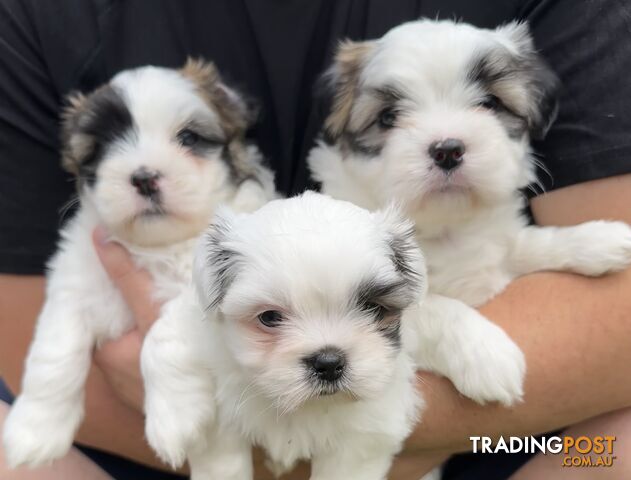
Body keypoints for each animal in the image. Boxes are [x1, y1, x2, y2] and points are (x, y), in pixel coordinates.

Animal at [3, 58, 276, 466]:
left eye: (188, 138)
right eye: (102, 148)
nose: (144, 177)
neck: (156, 248)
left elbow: (162, 336)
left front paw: (174, 419)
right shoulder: (76, 285)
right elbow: (54, 348)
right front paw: (34, 429)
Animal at [143, 193, 436, 480]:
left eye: (373, 308)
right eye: (270, 317)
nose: (329, 362)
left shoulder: (366, 434)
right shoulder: (196, 319)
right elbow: (162, 342)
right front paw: (174, 424)